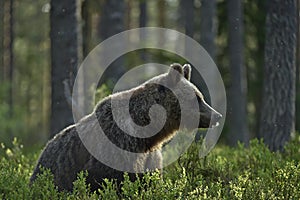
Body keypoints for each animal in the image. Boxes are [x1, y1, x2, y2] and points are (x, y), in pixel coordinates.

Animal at [30, 63, 221, 191]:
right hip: (53, 173)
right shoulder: (117, 149)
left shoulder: (150, 156)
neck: (147, 135)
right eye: (198, 98)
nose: (217, 116)